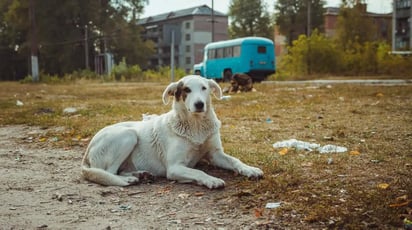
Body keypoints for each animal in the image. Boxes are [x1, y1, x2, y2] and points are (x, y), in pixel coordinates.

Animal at [81, 74, 264, 188]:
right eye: (186, 90)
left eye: (204, 88)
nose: (199, 104)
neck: (196, 125)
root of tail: (87, 151)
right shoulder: (175, 167)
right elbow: (198, 171)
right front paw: (211, 180)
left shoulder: (215, 154)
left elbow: (235, 161)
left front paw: (250, 169)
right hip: (128, 135)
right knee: (109, 172)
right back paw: (130, 179)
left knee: (120, 170)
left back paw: (141, 174)